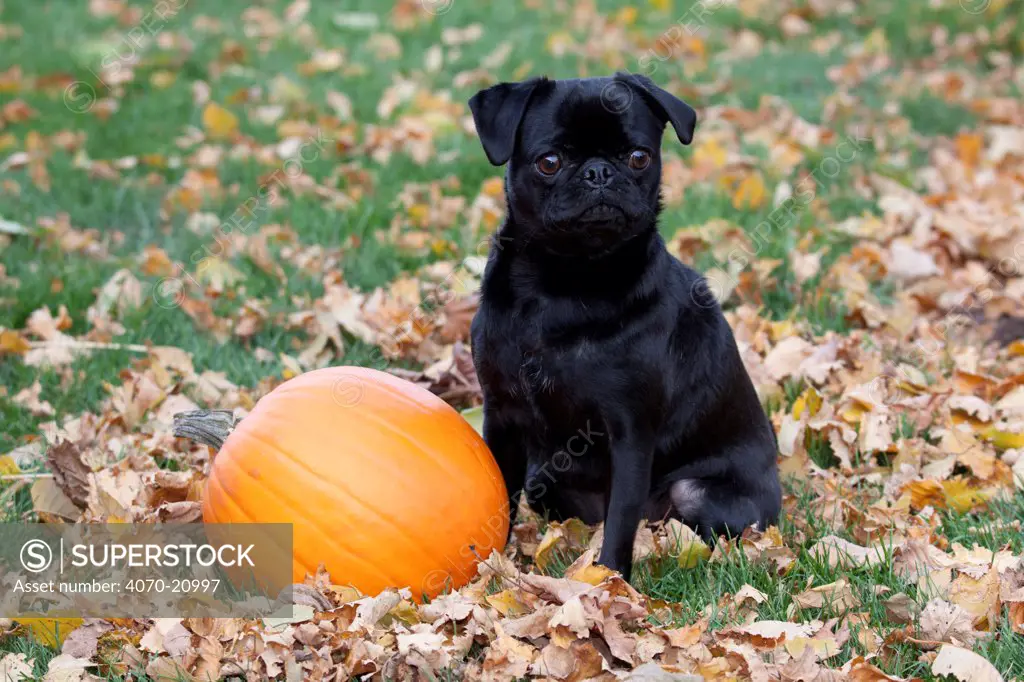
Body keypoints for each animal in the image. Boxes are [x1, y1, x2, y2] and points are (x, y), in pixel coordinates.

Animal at [468, 73, 778, 577]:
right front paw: (492, 563)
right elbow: (499, 494)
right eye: (549, 162)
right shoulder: (503, 416)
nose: (598, 172)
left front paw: (608, 581)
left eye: (638, 157)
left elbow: (620, 522)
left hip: (694, 492)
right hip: (543, 478)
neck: (563, 284)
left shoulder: (629, 434)